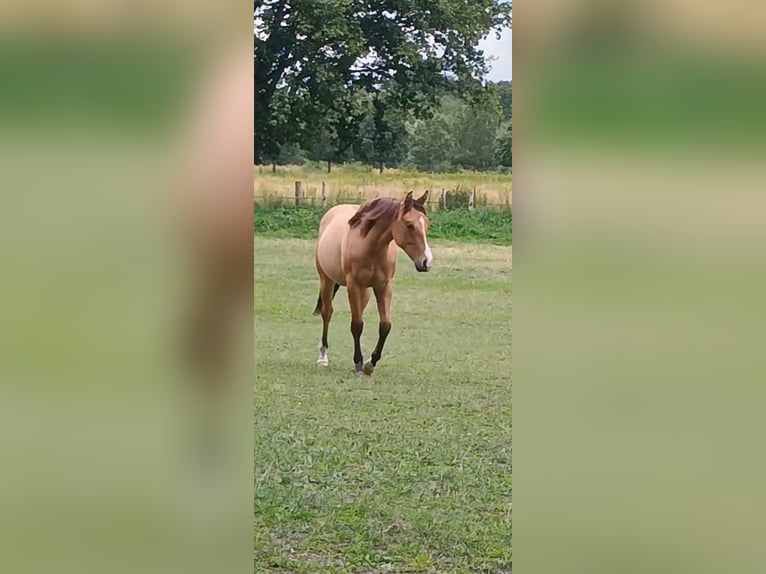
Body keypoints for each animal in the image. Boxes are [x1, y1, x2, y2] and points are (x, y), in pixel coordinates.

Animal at [312, 191, 432, 376]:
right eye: (409, 225)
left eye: (427, 225)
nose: (427, 262)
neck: (369, 246)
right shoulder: (353, 285)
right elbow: (356, 325)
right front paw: (358, 363)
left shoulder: (384, 286)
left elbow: (385, 325)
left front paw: (370, 363)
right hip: (327, 280)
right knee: (327, 313)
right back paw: (323, 356)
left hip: (365, 291)